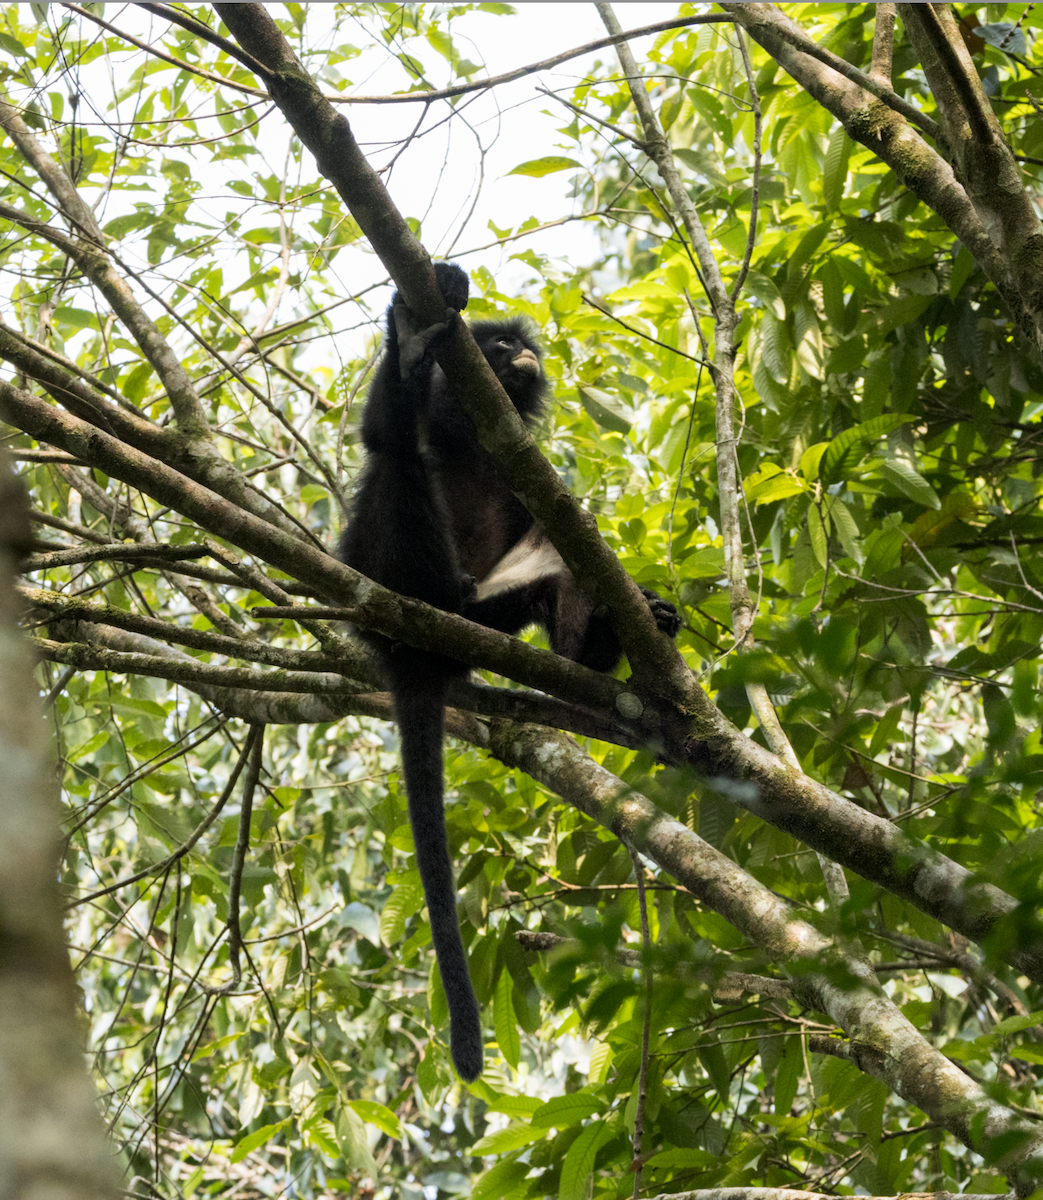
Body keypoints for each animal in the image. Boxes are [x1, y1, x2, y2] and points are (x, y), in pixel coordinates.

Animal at [340, 262, 680, 1082]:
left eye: (520, 349)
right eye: (497, 347)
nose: (519, 357)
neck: (471, 439)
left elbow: (560, 531)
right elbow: (383, 439)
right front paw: (412, 334)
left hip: (491, 616)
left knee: (559, 555)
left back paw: (597, 649)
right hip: (375, 570)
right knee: (395, 463)